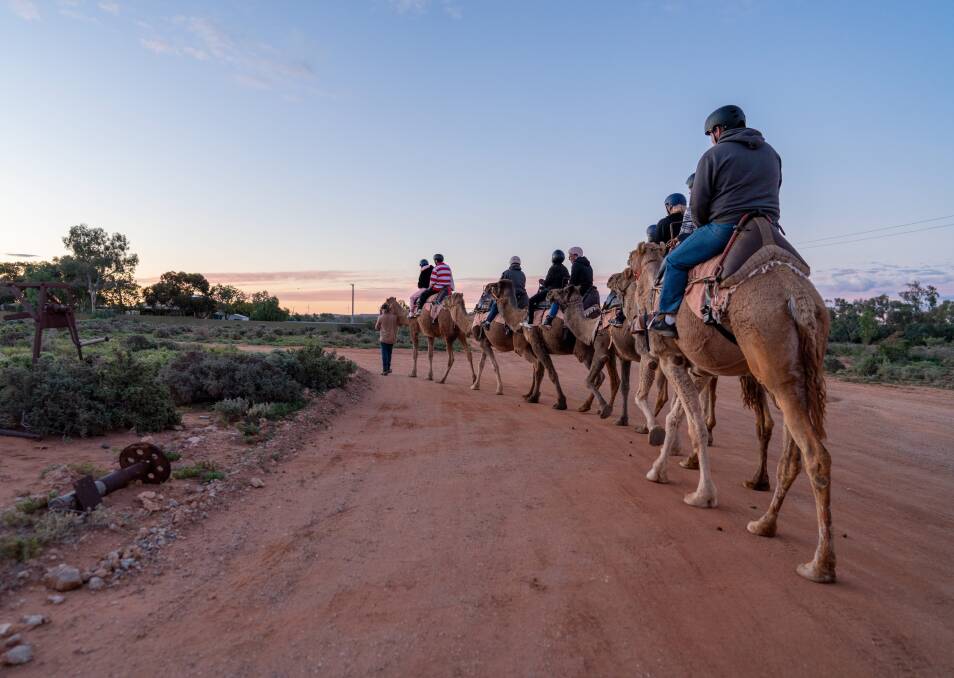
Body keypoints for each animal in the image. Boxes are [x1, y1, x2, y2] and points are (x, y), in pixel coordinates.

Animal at [491, 280, 617, 411]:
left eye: (496, 285)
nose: (489, 287)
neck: (521, 318)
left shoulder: (536, 342)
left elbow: (548, 372)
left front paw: (559, 402)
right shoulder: (537, 346)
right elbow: (539, 370)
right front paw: (533, 396)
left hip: (584, 349)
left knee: (598, 375)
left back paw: (593, 407)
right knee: (603, 376)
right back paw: (586, 406)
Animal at [629, 239, 834, 583]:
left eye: (630, 265)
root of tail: (800, 300)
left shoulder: (672, 358)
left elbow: (695, 425)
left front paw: (702, 494)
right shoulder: (697, 367)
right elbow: (676, 419)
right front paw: (659, 470)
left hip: (770, 359)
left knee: (816, 456)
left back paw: (819, 564)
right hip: (798, 372)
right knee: (791, 454)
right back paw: (765, 523)